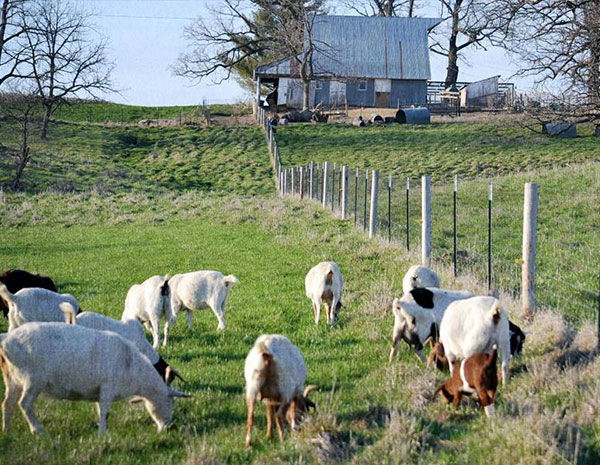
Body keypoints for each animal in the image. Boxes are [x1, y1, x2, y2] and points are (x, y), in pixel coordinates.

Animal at [0, 320, 190, 434]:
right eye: (170, 402)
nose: (167, 427)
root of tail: (6, 341)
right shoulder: (107, 388)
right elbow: (105, 413)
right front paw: (103, 434)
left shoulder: (100, 392)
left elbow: (100, 411)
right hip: (33, 379)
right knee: (24, 404)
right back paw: (38, 430)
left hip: (12, 379)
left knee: (7, 404)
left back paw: (7, 431)